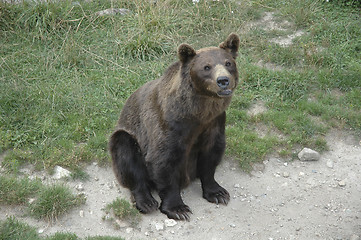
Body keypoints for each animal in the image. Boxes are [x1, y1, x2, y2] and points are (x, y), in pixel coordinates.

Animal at [109, 32, 239, 220]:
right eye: (206, 67)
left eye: (228, 63)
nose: (223, 80)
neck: (198, 113)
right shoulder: (169, 125)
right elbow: (163, 161)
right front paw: (178, 209)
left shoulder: (214, 123)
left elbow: (211, 155)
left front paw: (218, 193)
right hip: (127, 134)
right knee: (125, 151)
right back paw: (146, 202)